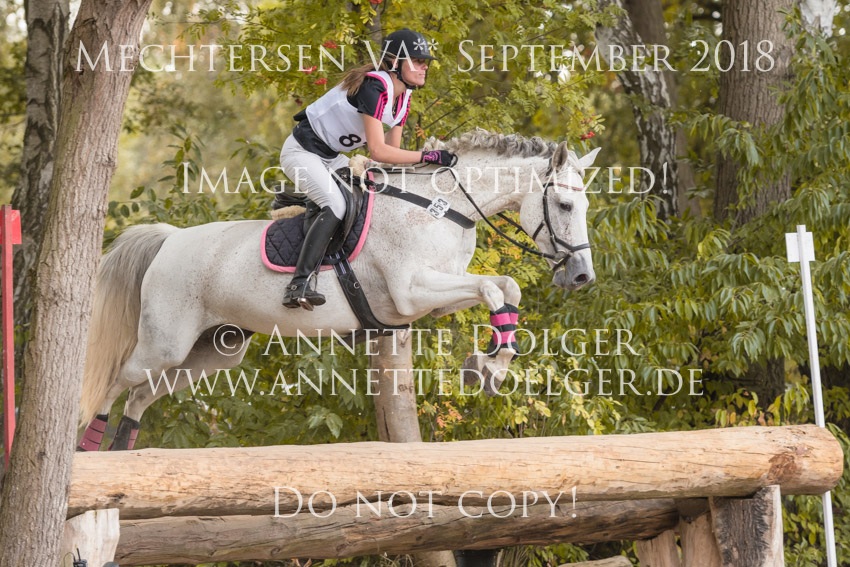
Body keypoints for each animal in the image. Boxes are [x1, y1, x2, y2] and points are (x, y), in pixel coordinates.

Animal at [77, 130, 601, 451]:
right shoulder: (412, 291)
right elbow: (494, 289)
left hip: (212, 351)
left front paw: (492, 366)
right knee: (117, 381)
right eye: (564, 204)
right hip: (164, 343)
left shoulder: (433, 297)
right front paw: (486, 364)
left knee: (141, 397)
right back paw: (89, 447)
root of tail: (170, 239)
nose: (581, 276)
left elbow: (505, 287)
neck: (441, 206)